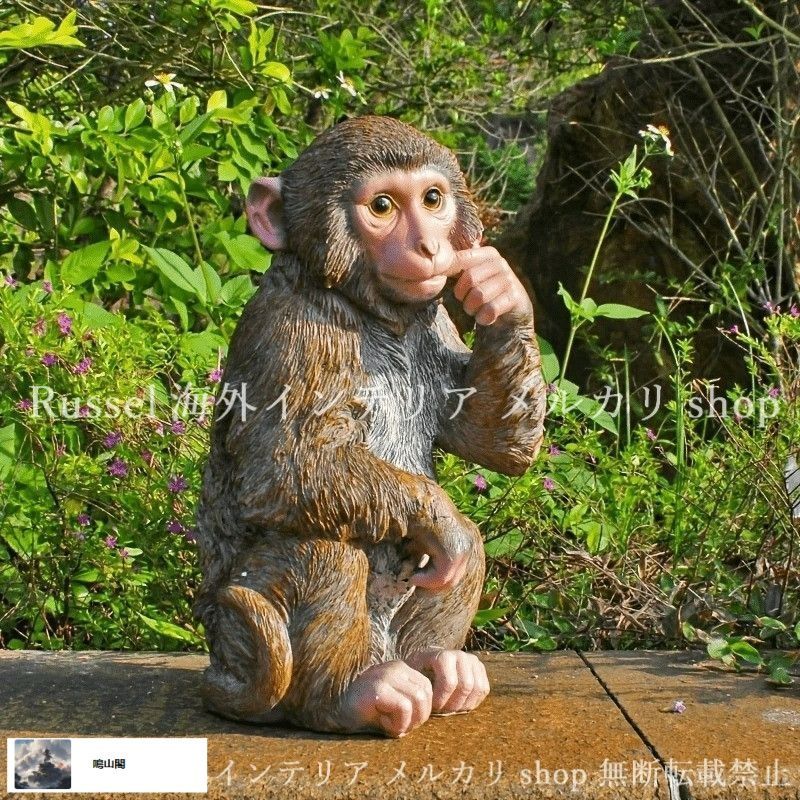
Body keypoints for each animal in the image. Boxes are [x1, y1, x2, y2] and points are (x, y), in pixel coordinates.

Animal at [194, 116, 546, 738]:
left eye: (432, 199)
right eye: (382, 206)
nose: (429, 245)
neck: (370, 313)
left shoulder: (436, 319)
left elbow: (489, 438)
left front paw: (502, 291)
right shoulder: (292, 332)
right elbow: (278, 469)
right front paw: (440, 523)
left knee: (460, 556)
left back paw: (438, 664)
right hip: (238, 638)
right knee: (321, 548)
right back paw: (349, 698)